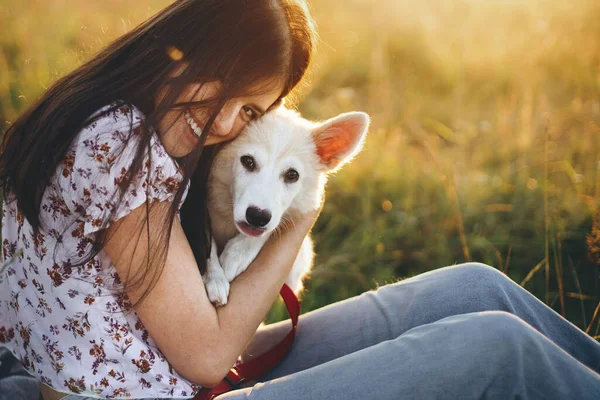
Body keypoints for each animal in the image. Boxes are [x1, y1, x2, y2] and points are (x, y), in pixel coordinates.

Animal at [204, 108, 368, 304]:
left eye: (292, 175)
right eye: (248, 161)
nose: (257, 217)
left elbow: (269, 229)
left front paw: (237, 254)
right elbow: (206, 241)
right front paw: (215, 278)